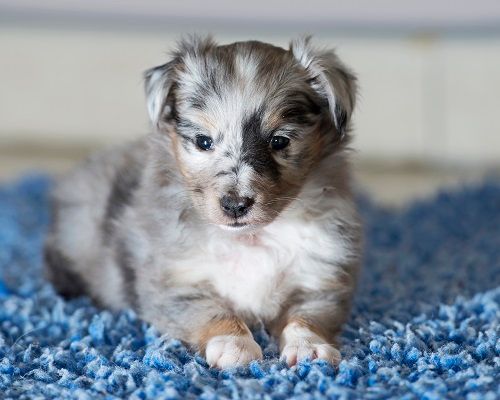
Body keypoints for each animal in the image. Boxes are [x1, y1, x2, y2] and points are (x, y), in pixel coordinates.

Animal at [45, 36, 362, 368]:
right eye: (203, 141)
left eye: (279, 141)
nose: (235, 205)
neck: (249, 239)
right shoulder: (173, 283)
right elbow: (211, 311)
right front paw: (235, 344)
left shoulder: (320, 280)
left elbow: (307, 318)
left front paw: (309, 348)